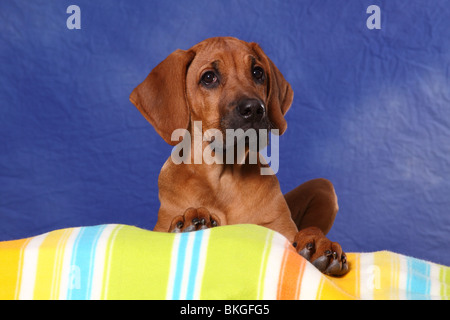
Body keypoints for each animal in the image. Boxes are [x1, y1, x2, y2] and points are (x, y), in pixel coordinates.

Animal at [129, 35, 348, 276]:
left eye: (258, 72)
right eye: (208, 77)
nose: (254, 109)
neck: (224, 177)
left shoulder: (280, 229)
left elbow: (303, 231)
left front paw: (318, 243)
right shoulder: (159, 229)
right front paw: (191, 221)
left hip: (323, 187)